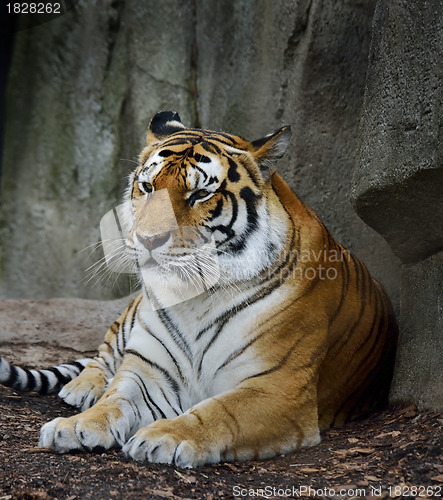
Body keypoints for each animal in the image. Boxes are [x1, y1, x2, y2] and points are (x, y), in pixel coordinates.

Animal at [0, 111, 398, 466]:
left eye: (201, 194)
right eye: (147, 187)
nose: (148, 239)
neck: (195, 297)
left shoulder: (278, 386)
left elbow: (221, 411)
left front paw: (164, 437)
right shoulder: (148, 368)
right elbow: (116, 397)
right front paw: (75, 426)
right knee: (103, 356)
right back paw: (82, 389)